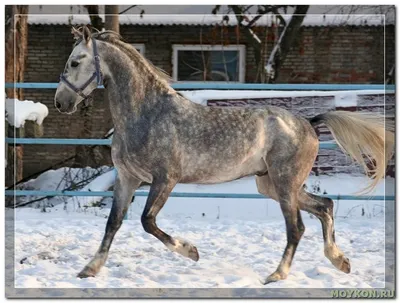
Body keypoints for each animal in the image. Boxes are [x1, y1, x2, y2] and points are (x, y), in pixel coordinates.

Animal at [53, 26, 394, 284]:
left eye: (75, 62)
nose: (60, 103)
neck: (146, 114)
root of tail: (308, 123)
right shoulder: (127, 179)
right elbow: (113, 223)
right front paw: (89, 270)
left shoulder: (165, 179)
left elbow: (147, 221)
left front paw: (191, 251)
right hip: (272, 185)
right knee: (325, 206)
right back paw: (340, 261)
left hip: (284, 185)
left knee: (296, 227)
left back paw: (277, 275)